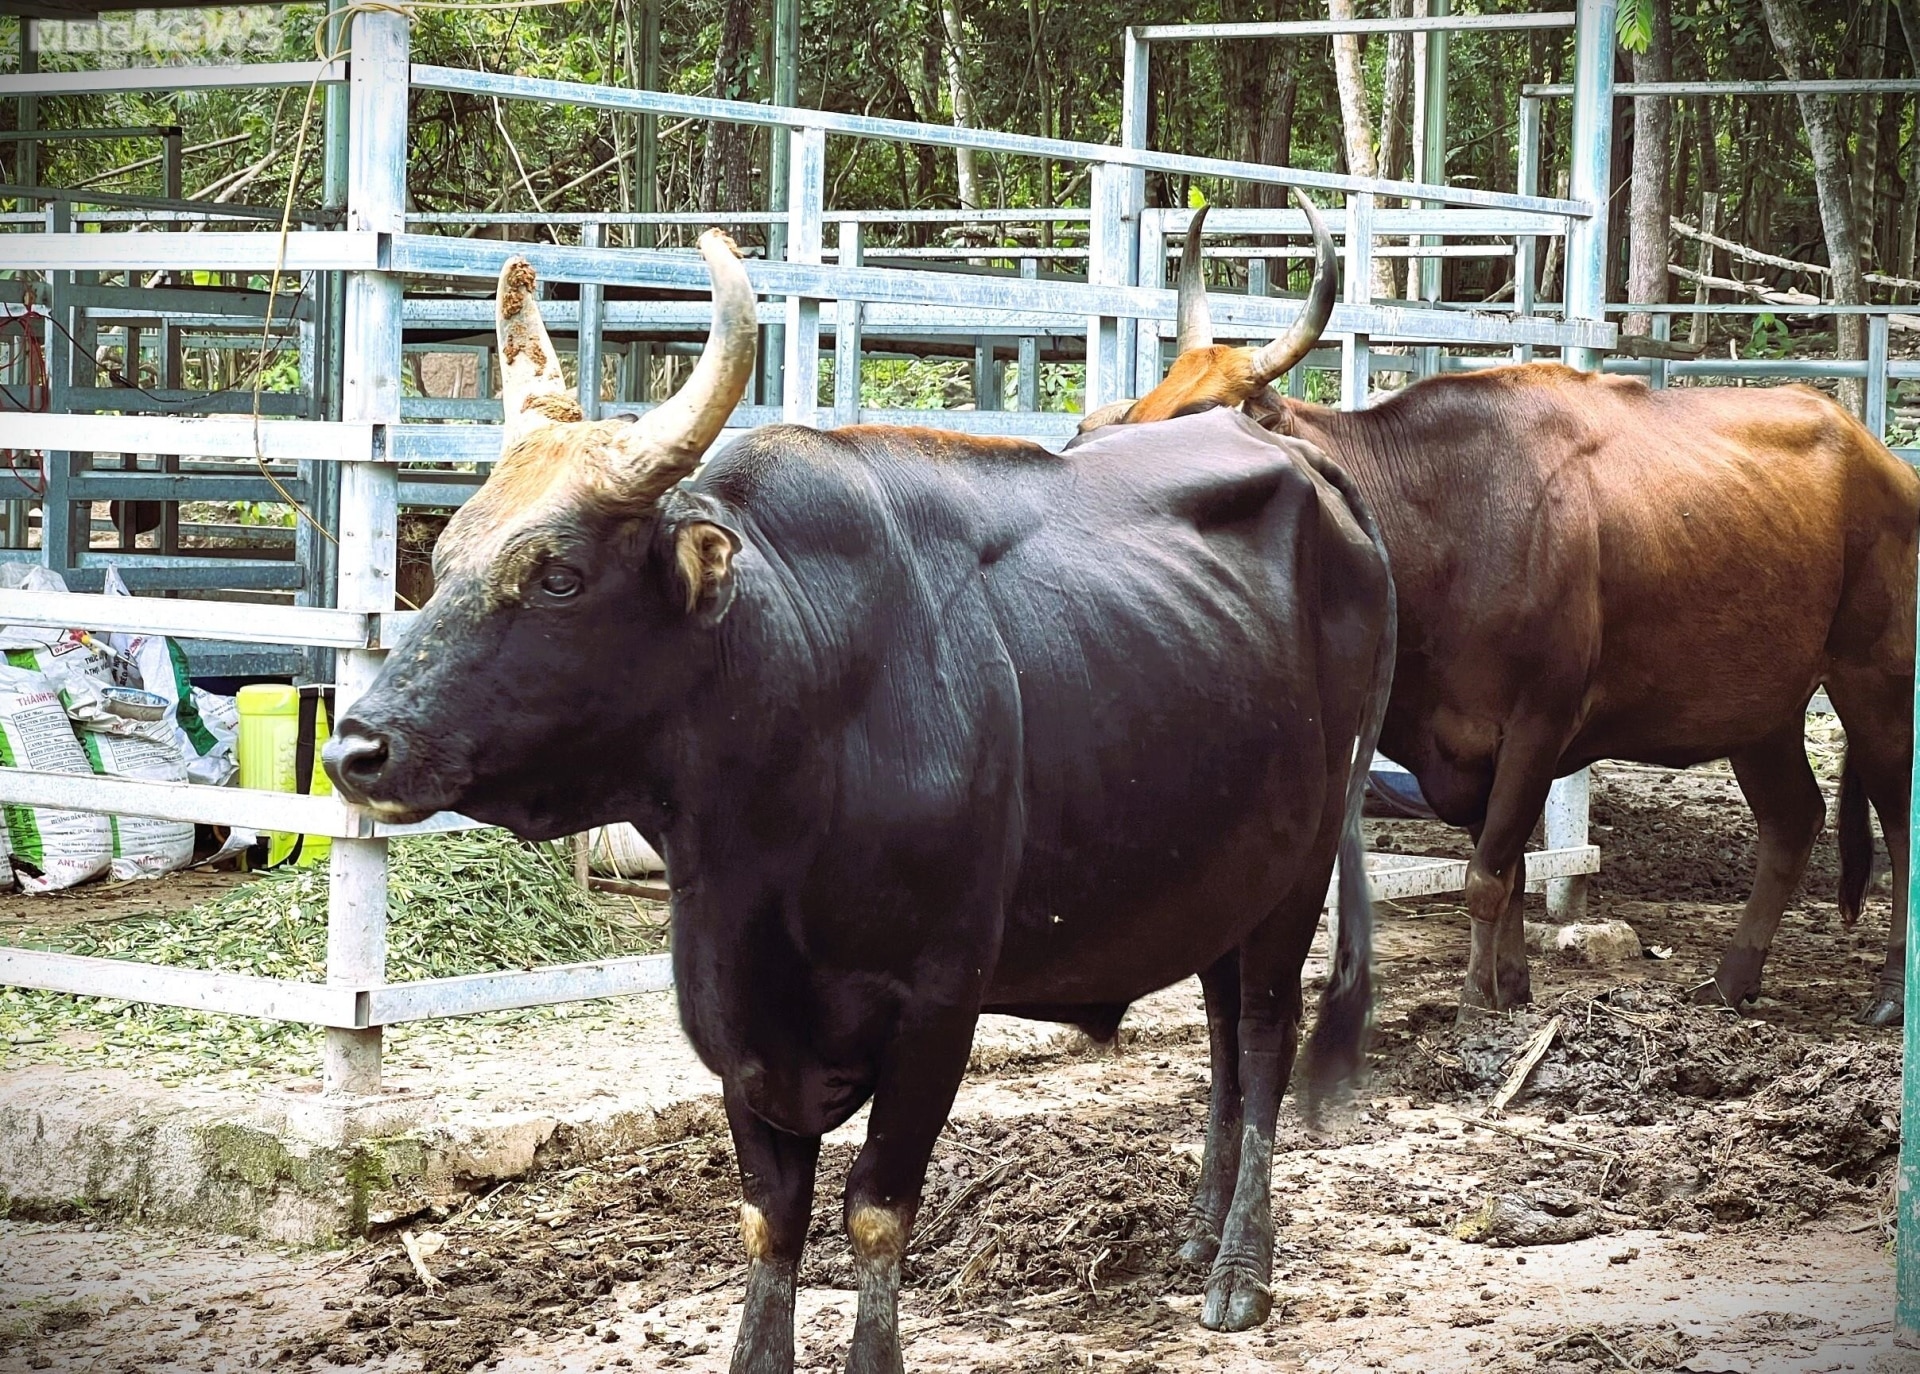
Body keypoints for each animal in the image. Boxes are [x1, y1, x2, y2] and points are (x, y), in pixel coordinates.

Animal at [326, 397, 1397, 1366]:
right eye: (447, 559)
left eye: (558, 576)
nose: (356, 749)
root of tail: (1282, 444)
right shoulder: (738, 1029)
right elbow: (772, 1218)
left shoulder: (938, 1007)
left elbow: (878, 1209)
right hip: (1227, 877)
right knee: (1222, 1039)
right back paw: (1197, 1235)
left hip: (1301, 868)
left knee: (1262, 1041)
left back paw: (1241, 1269)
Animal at [1090, 198, 1912, 1028]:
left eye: (1206, 425)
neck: (1437, 520)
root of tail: (1881, 458)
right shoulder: (1465, 747)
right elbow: (1509, 869)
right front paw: (1509, 992)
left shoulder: (1539, 725)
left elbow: (1488, 876)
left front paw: (1471, 1009)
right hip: (1762, 705)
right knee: (1791, 819)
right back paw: (1731, 980)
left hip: (1875, 679)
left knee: (1898, 821)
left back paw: (1887, 995)